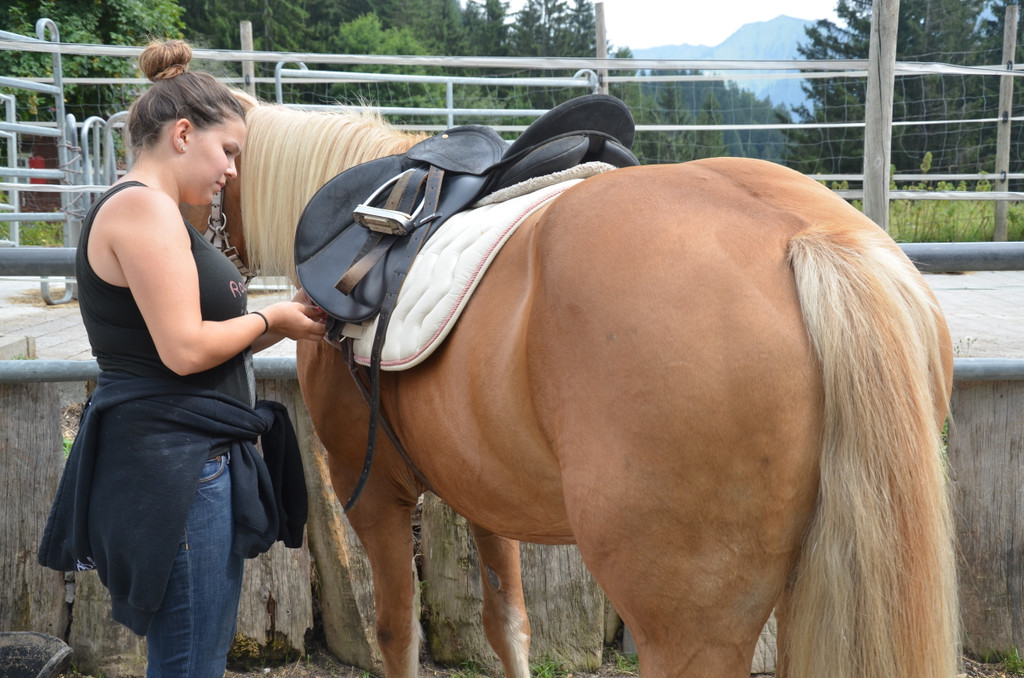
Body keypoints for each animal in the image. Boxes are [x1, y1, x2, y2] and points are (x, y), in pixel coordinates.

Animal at [183, 97, 960, 678]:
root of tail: (802, 236)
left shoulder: (371, 493)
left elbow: (397, 632)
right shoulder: (483, 491)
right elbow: (507, 624)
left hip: (687, 624)